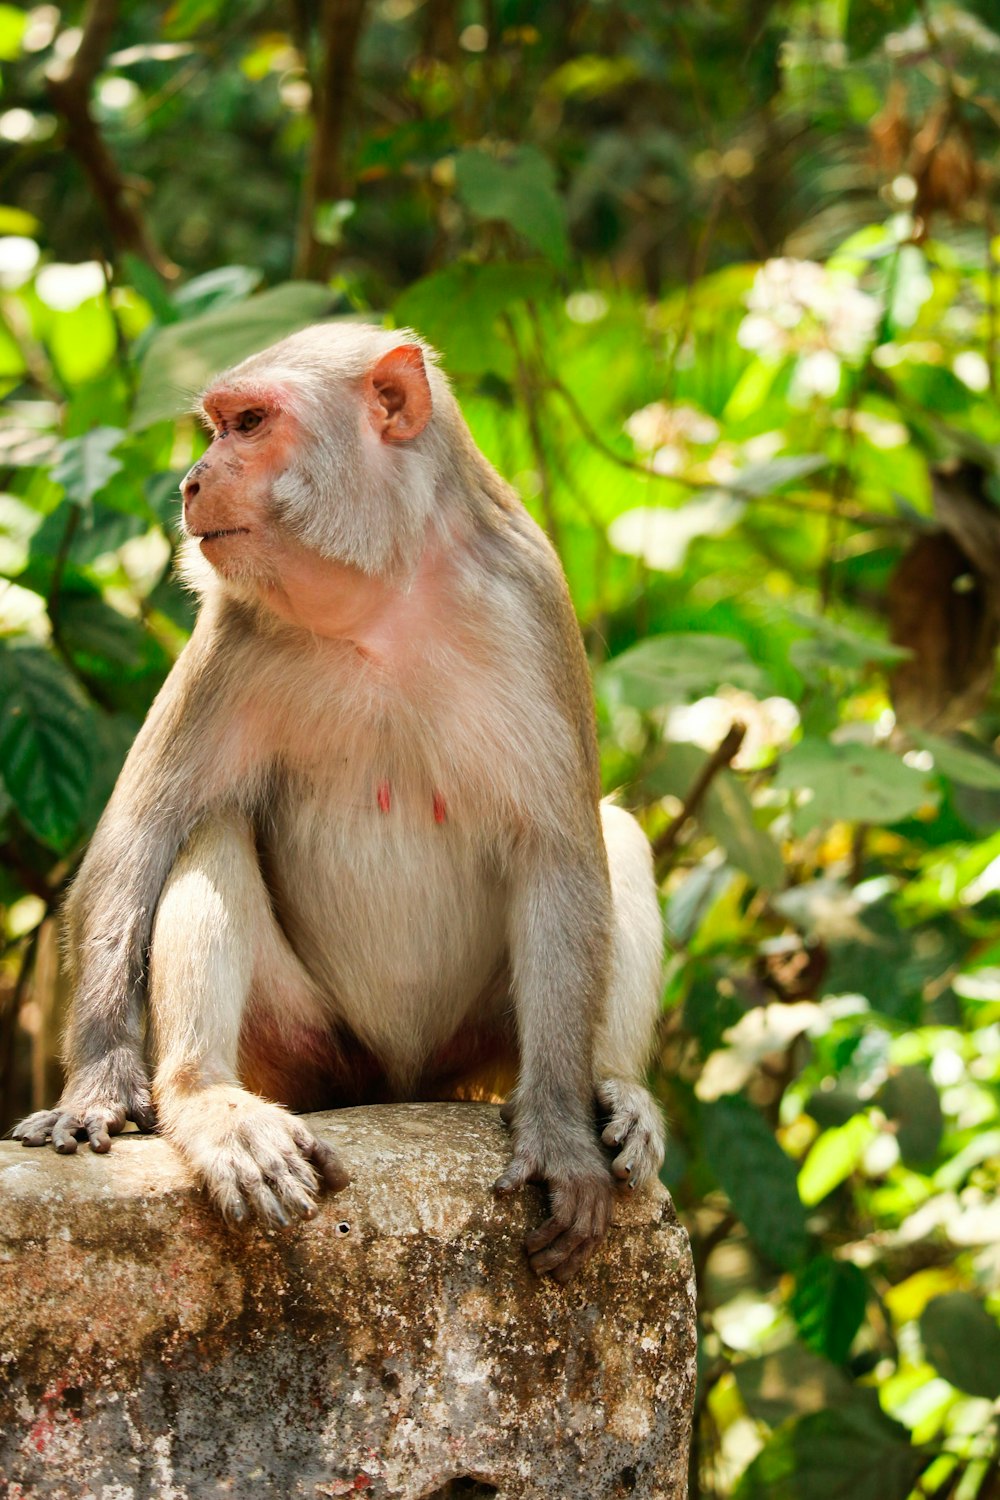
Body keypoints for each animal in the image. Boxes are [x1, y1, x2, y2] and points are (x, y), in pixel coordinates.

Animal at [13, 322, 665, 1284]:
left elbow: (561, 855)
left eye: (249, 424)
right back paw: (209, 1103)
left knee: (614, 835)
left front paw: (558, 1134)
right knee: (210, 830)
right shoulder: (231, 630)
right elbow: (138, 840)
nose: (192, 481)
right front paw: (98, 1087)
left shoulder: (533, 601)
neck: (381, 600)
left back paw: (615, 1088)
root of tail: (397, 1084)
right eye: (216, 426)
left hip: (474, 1047)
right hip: (309, 1050)